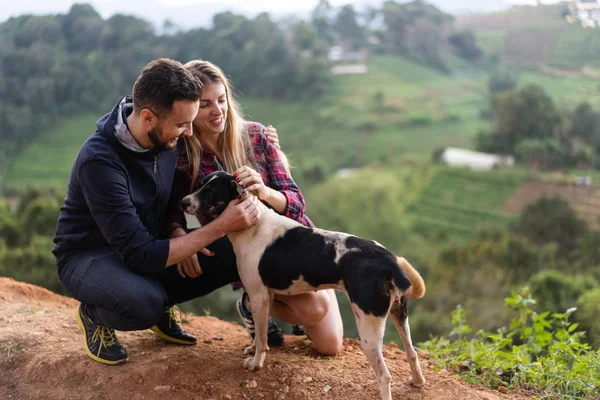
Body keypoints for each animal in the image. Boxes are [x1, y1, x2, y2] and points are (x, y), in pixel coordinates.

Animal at [183, 172, 426, 400]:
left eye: (211, 192)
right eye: (199, 185)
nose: (183, 202)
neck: (253, 224)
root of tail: (388, 261)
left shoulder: (258, 296)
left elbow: (261, 339)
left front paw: (255, 363)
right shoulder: (266, 297)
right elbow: (261, 335)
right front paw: (253, 350)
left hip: (368, 327)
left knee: (384, 375)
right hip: (399, 313)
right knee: (411, 352)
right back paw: (417, 381)